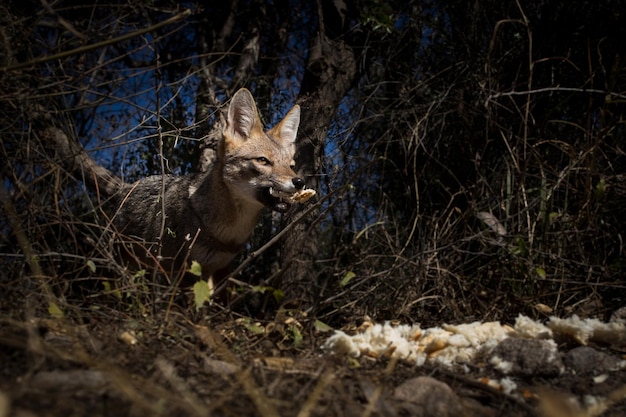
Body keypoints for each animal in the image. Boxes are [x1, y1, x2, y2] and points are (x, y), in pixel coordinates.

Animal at [45, 89, 312, 286]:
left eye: (291, 166)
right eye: (263, 161)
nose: (299, 182)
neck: (227, 231)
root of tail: (129, 186)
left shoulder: (220, 270)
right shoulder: (185, 271)